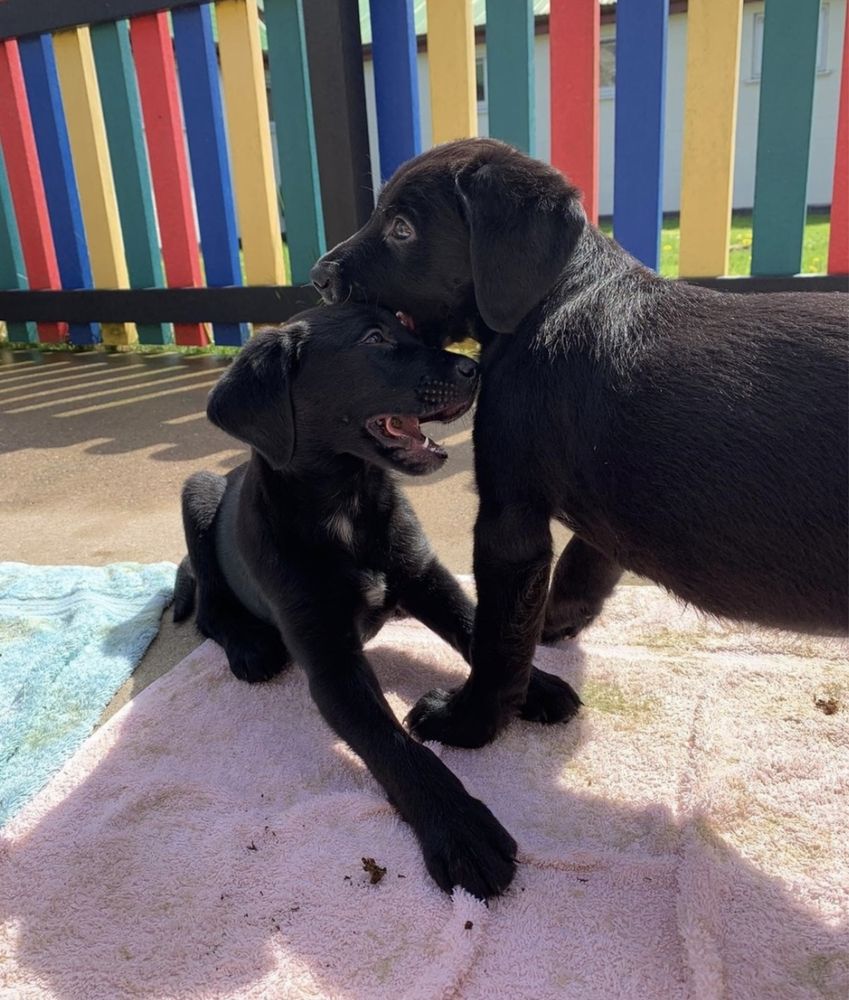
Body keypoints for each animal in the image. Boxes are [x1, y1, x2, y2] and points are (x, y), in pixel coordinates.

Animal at [173, 302, 576, 900]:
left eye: (408, 326)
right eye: (374, 339)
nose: (474, 369)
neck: (349, 502)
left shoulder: (425, 576)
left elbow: (476, 624)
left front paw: (537, 685)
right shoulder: (330, 662)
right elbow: (392, 743)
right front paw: (460, 829)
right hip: (196, 492)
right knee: (208, 607)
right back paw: (248, 644)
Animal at [312, 139, 848, 752]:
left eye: (401, 229)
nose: (318, 277)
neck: (552, 297)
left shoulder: (508, 517)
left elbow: (499, 638)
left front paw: (468, 722)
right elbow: (582, 563)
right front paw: (552, 624)